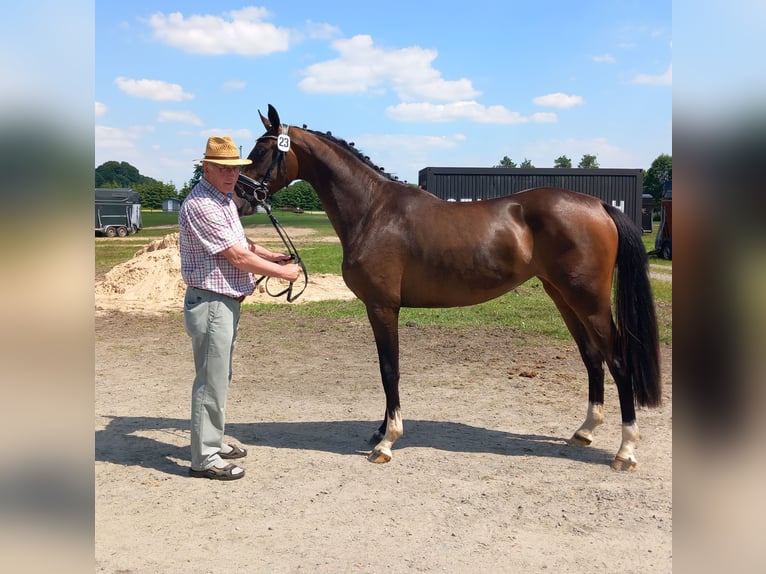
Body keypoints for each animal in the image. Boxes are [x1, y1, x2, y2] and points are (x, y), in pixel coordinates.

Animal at [243, 104, 664, 472]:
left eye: (261, 151)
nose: (243, 196)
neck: (373, 211)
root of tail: (599, 204)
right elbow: (385, 369)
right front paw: (380, 430)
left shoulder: (382, 306)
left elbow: (389, 369)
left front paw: (387, 441)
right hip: (562, 297)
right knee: (592, 358)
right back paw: (585, 431)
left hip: (589, 301)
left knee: (618, 361)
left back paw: (626, 451)